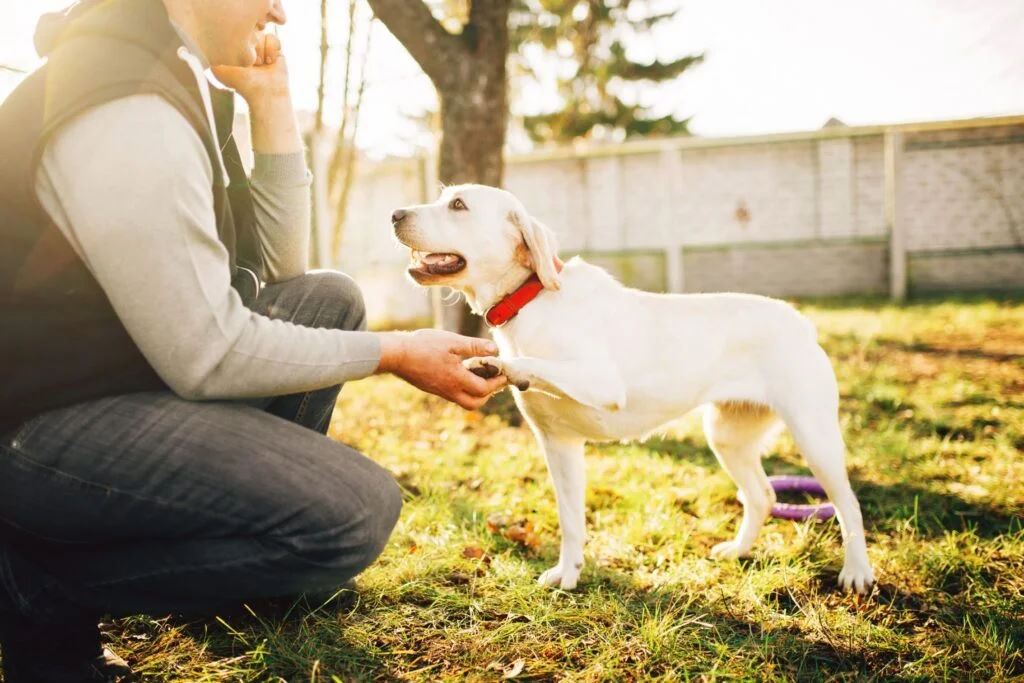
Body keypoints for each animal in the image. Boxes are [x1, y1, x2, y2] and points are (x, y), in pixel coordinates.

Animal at [387, 183, 876, 593]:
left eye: (458, 205)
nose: (393, 213)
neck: (532, 300)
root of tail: (800, 320)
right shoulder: (558, 445)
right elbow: (570, 519)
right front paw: (568, 574)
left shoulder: (601, 381)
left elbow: (532, 363)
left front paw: (500, 364)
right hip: (727, 438)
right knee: (762, 495)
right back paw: (738, 551)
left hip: (814, 439)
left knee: (848, 505)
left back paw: (857, 573)